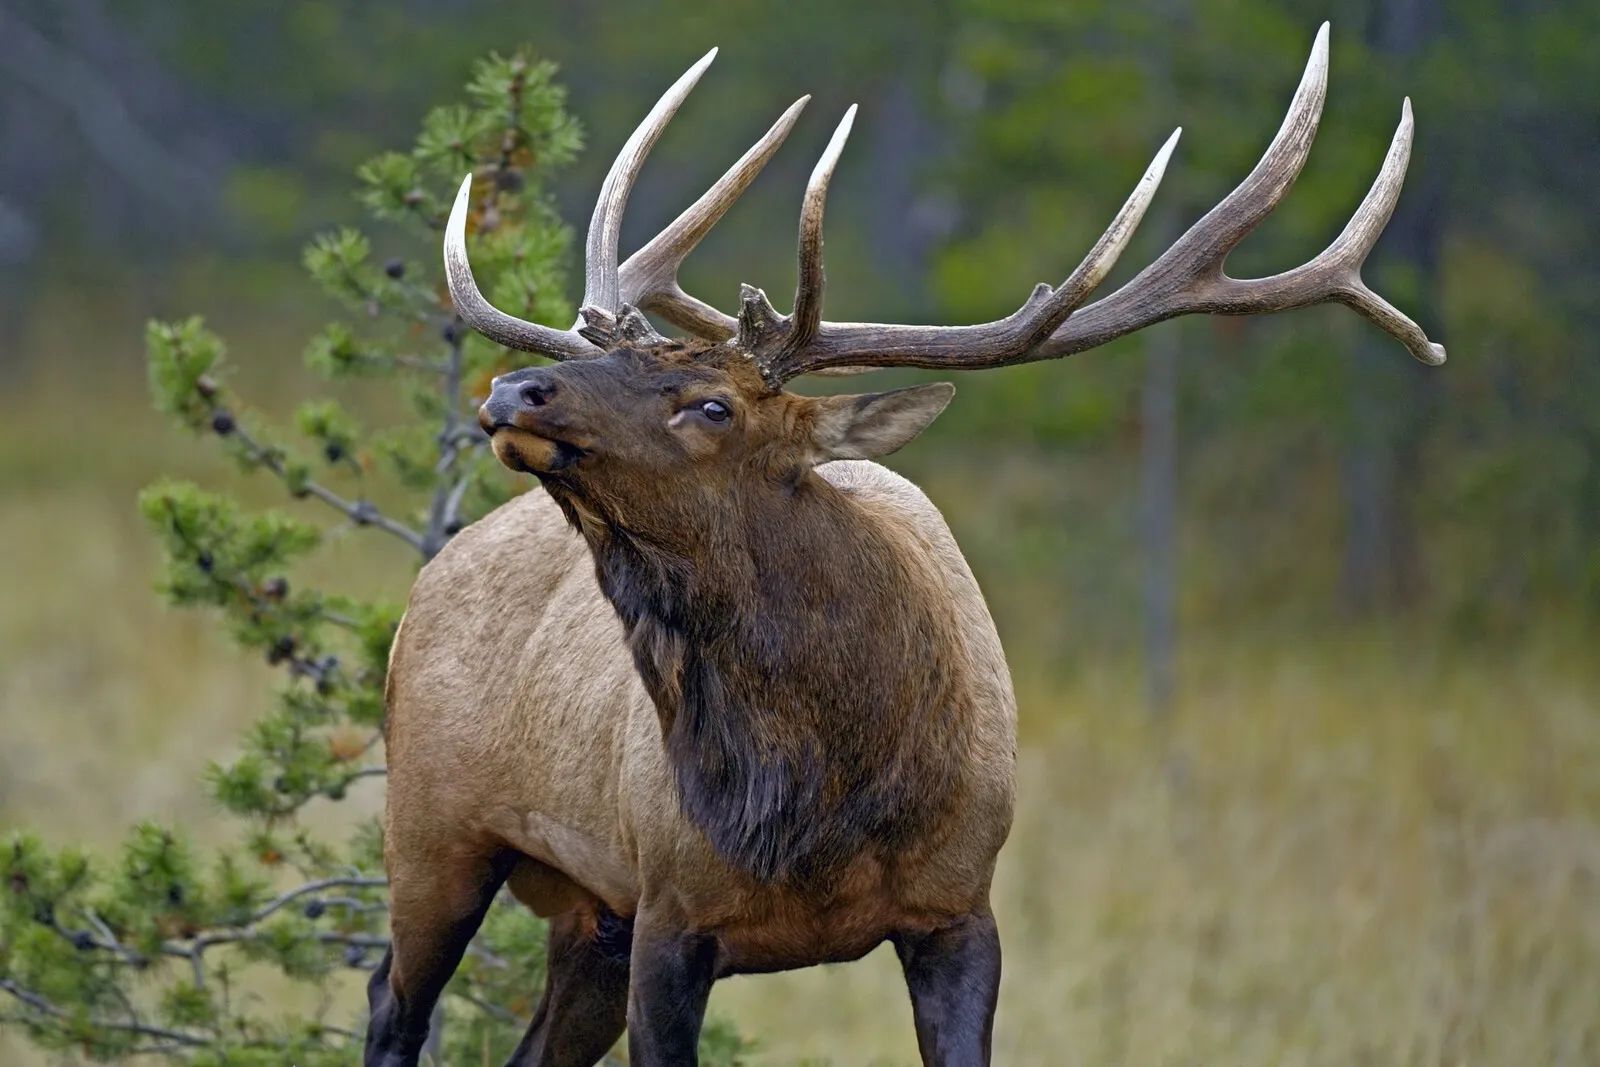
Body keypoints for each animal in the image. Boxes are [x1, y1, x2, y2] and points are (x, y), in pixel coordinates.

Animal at [367, 23, 1443, 1067]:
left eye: (712, 404)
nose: (515, 390)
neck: (826, 800)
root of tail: (432, 575)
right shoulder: (671, 912)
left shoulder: (958, 907)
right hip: (435, 829)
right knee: (390, 1000)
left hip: (586, 911)